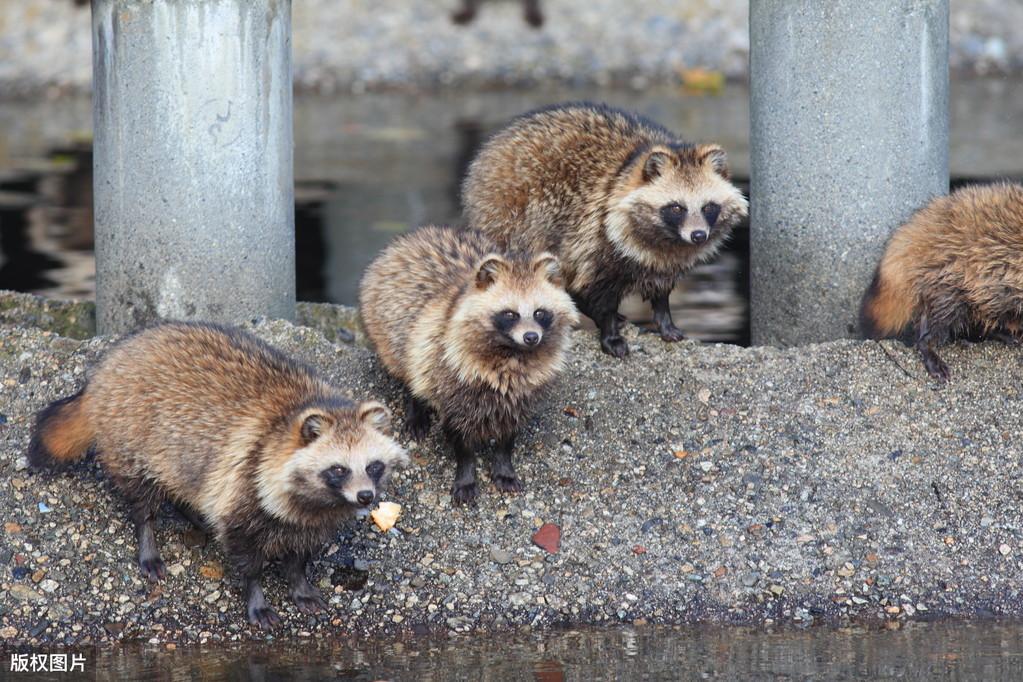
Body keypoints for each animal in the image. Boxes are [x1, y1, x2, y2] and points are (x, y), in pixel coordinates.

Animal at [26, 325, 407, 629]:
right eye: (339, 469)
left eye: (373, 466)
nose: (366, 497)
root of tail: (107, 368)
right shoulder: (243, 483)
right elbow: (246, 556)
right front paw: (256, 594)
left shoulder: (312, 519)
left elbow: (299, 553)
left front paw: (298, 581)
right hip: (132, 437)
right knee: (143, 498)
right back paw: (148, 535)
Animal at [362, 226, 581, 505]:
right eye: (510, 314)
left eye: (540, 312)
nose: (531, 337)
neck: (513, 354)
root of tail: (415, 236)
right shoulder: (449, 375)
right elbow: (460, 436)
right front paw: (466, 474)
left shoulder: (524, 393)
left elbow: (508, 434)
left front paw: (504, 466)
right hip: (389, 330)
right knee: (411, 366)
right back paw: (415, 404)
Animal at [462, 102, 744, 357]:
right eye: (677, 208)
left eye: (708, 207)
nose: (698, 236)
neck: (667, 238)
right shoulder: (596, 235)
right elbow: (599, 290)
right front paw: (609, 332)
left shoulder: (666, 260)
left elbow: (661, 289)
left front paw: (664, 319)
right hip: (512, 217)